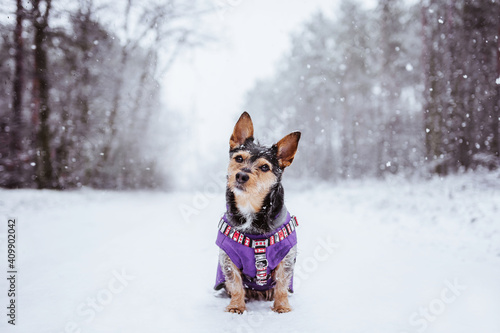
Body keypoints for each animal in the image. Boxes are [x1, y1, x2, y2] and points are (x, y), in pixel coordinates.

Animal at [212, 111, 298, 312]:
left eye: (265, 167)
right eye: (239, 158)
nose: (241, 175)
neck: (250, 207)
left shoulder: (286, 257)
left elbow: (282, 283)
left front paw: (282, 306)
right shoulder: (228, 258)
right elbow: (235, 283)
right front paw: (236, 306)